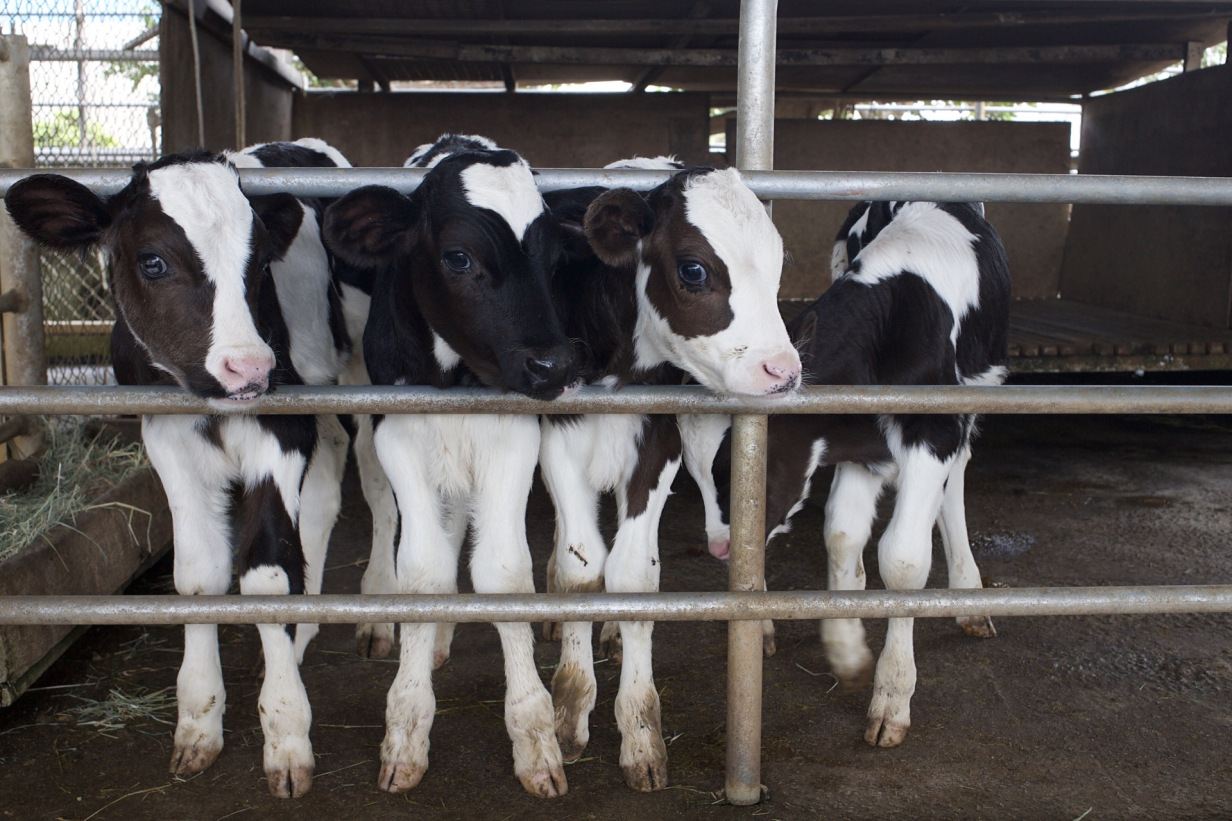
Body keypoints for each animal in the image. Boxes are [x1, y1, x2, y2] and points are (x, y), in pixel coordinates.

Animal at [325, 137, 579, 793]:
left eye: (555, 257)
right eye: (458, 258)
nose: (553, 366)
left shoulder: (513, 435)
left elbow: (502, 571)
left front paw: (534, 738)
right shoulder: (398, 436)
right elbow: (423, 570)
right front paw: (407, 727)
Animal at [539, 156, 798, 788]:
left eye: (778, 265)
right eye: (694, 269)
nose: (783, 371)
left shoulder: (659, 445)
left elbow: (634, 575)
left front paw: (640, 735)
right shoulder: (559, 440)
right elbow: (582, 571)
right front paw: (569, 713)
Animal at [684, 197, 1010, 739]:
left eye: (737, 470)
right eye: (696, 479)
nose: (718, 548)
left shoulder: (933, 433)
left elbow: (902, 559)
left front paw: (892, 694)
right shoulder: (861, 448)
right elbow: (840, 536)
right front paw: (845, 645)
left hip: (975, 397)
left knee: (957, 478)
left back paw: (968, 589)